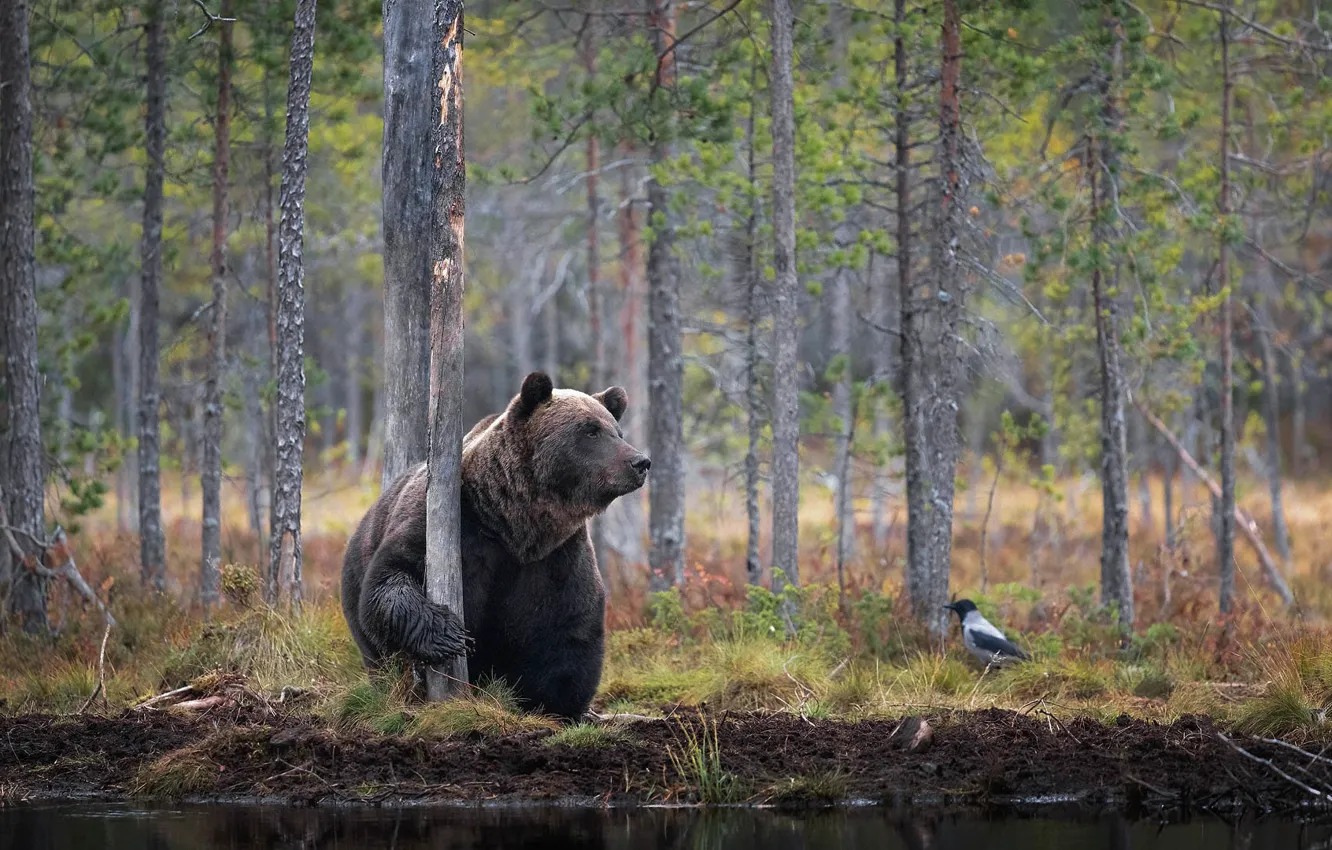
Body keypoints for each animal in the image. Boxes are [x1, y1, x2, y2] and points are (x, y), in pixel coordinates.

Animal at [340, 372, 650, 720]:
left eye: (617, 431)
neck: (514, 522)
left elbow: (569, 627)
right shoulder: (455, 523)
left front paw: (559, 703)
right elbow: (391, 577)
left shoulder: (555, 556)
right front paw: (448, 634)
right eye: (591, 430)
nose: (640, 461)